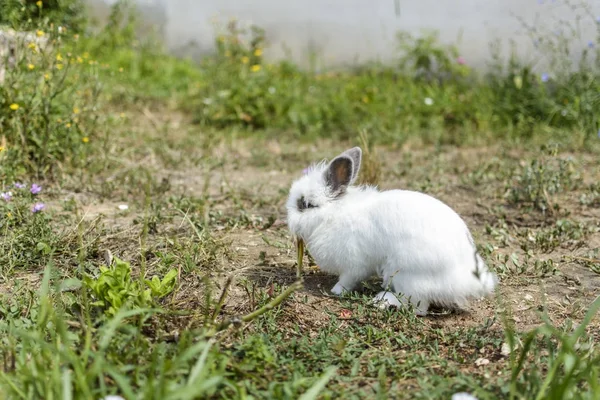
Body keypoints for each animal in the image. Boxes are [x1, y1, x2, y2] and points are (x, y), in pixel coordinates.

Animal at [286, 147, 496, 316]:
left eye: (306, 205)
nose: (288, 219)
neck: (333, 214)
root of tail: (466, 281)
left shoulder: (354, 264)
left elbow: (347, 279)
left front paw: (336, 290)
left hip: (408, 275)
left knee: (419, 307)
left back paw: (384, 300)